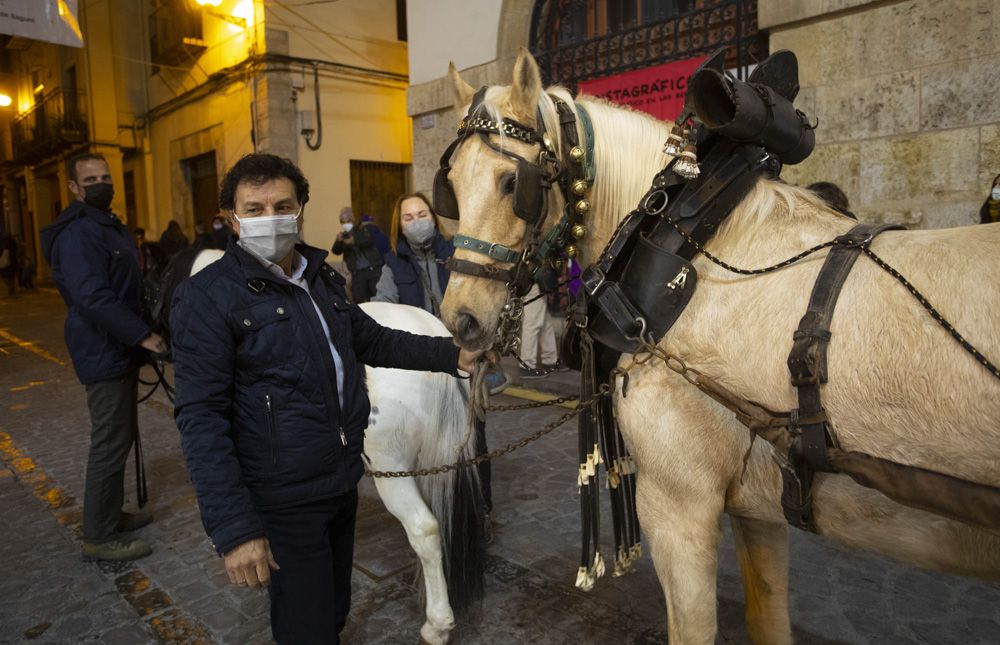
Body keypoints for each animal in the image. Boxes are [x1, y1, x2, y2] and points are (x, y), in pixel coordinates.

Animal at [442, 51, 1000, 644]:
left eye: (513, 183)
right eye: (450, 183)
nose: (461, 320)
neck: (692, 244)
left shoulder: (677, 506)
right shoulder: (759, 506)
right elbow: (768, 617)